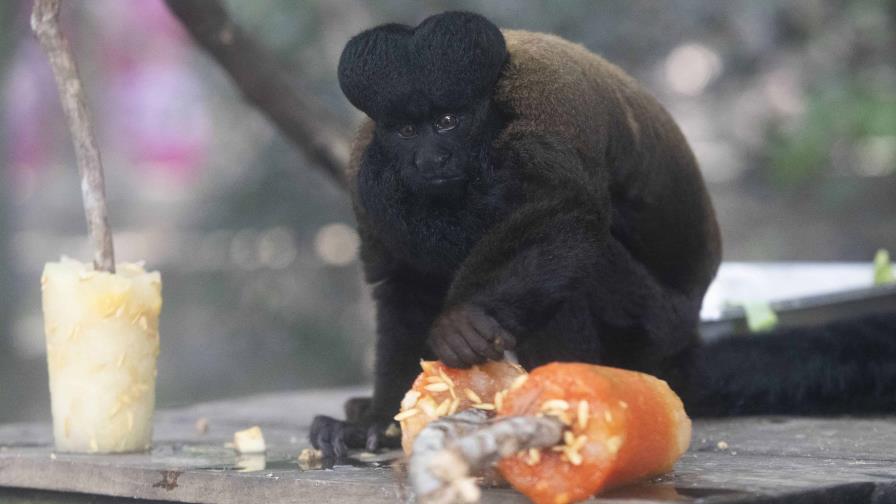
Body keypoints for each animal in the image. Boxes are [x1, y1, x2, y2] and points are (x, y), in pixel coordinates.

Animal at [312, 11, 896, 460]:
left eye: (448, 121)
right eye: (408, 130)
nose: (429, 159)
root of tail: (684, 342)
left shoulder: (543, 124)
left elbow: (565, 215)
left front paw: (462, 322)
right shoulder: (367, 180)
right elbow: (402, 287)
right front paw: (377, 420)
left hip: (653, 325)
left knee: (580, 266)